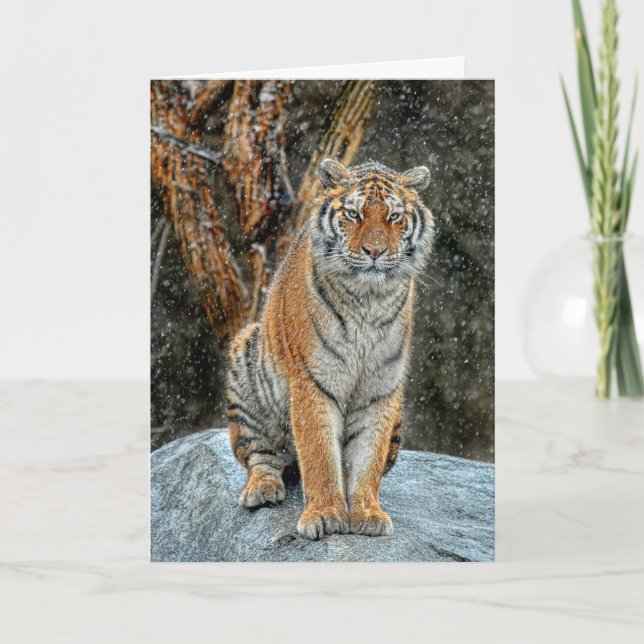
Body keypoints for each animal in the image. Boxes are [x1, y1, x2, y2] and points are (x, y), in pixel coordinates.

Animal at [227, 158, 434, 540]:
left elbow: (369, 457)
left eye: (394, 216)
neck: (368, 301)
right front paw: (324, 515)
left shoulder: (381, 387)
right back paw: (262, 491)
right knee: (261, 456)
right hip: (246, 361)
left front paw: (366, 513)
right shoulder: (312, 381)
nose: (375, 252)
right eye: (354, 214)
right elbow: (319, 455)